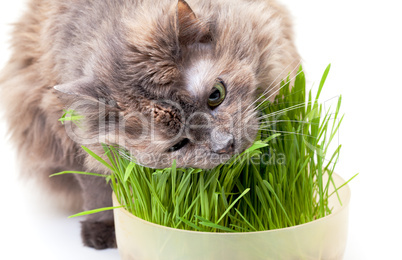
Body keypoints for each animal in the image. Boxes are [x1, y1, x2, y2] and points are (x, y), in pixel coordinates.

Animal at [0, 0, 298, 250]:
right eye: (178, 145)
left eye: (216, 95)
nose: (225, 146)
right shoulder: (71, 140)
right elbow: (96, 189)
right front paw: (102, 231)